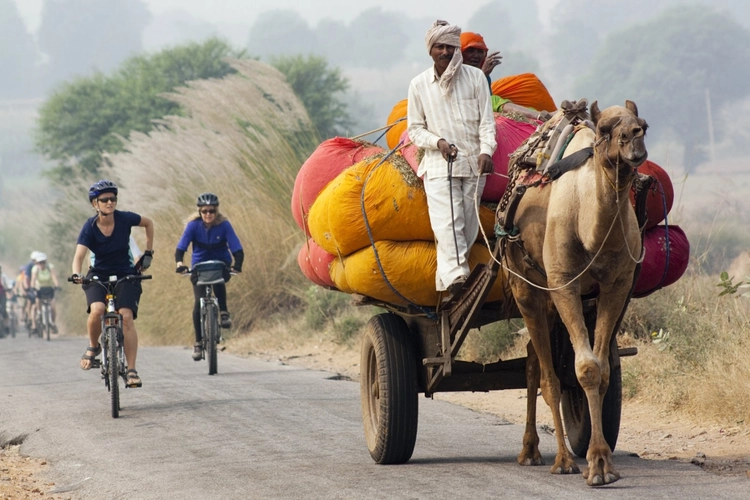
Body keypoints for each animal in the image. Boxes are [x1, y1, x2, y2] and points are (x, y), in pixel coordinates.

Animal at [502, 99, 648, 486]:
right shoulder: (563, 282)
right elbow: (583, 370)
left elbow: (603, 370)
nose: (635, 139)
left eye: (643, 124)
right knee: (546, 376)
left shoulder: (617, 284)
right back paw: (558, 458)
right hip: (525, 286)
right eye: (606, 130)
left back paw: (531, 450)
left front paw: (603, 461)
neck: (590, 231)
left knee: (532, 361)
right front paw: (593, 464)